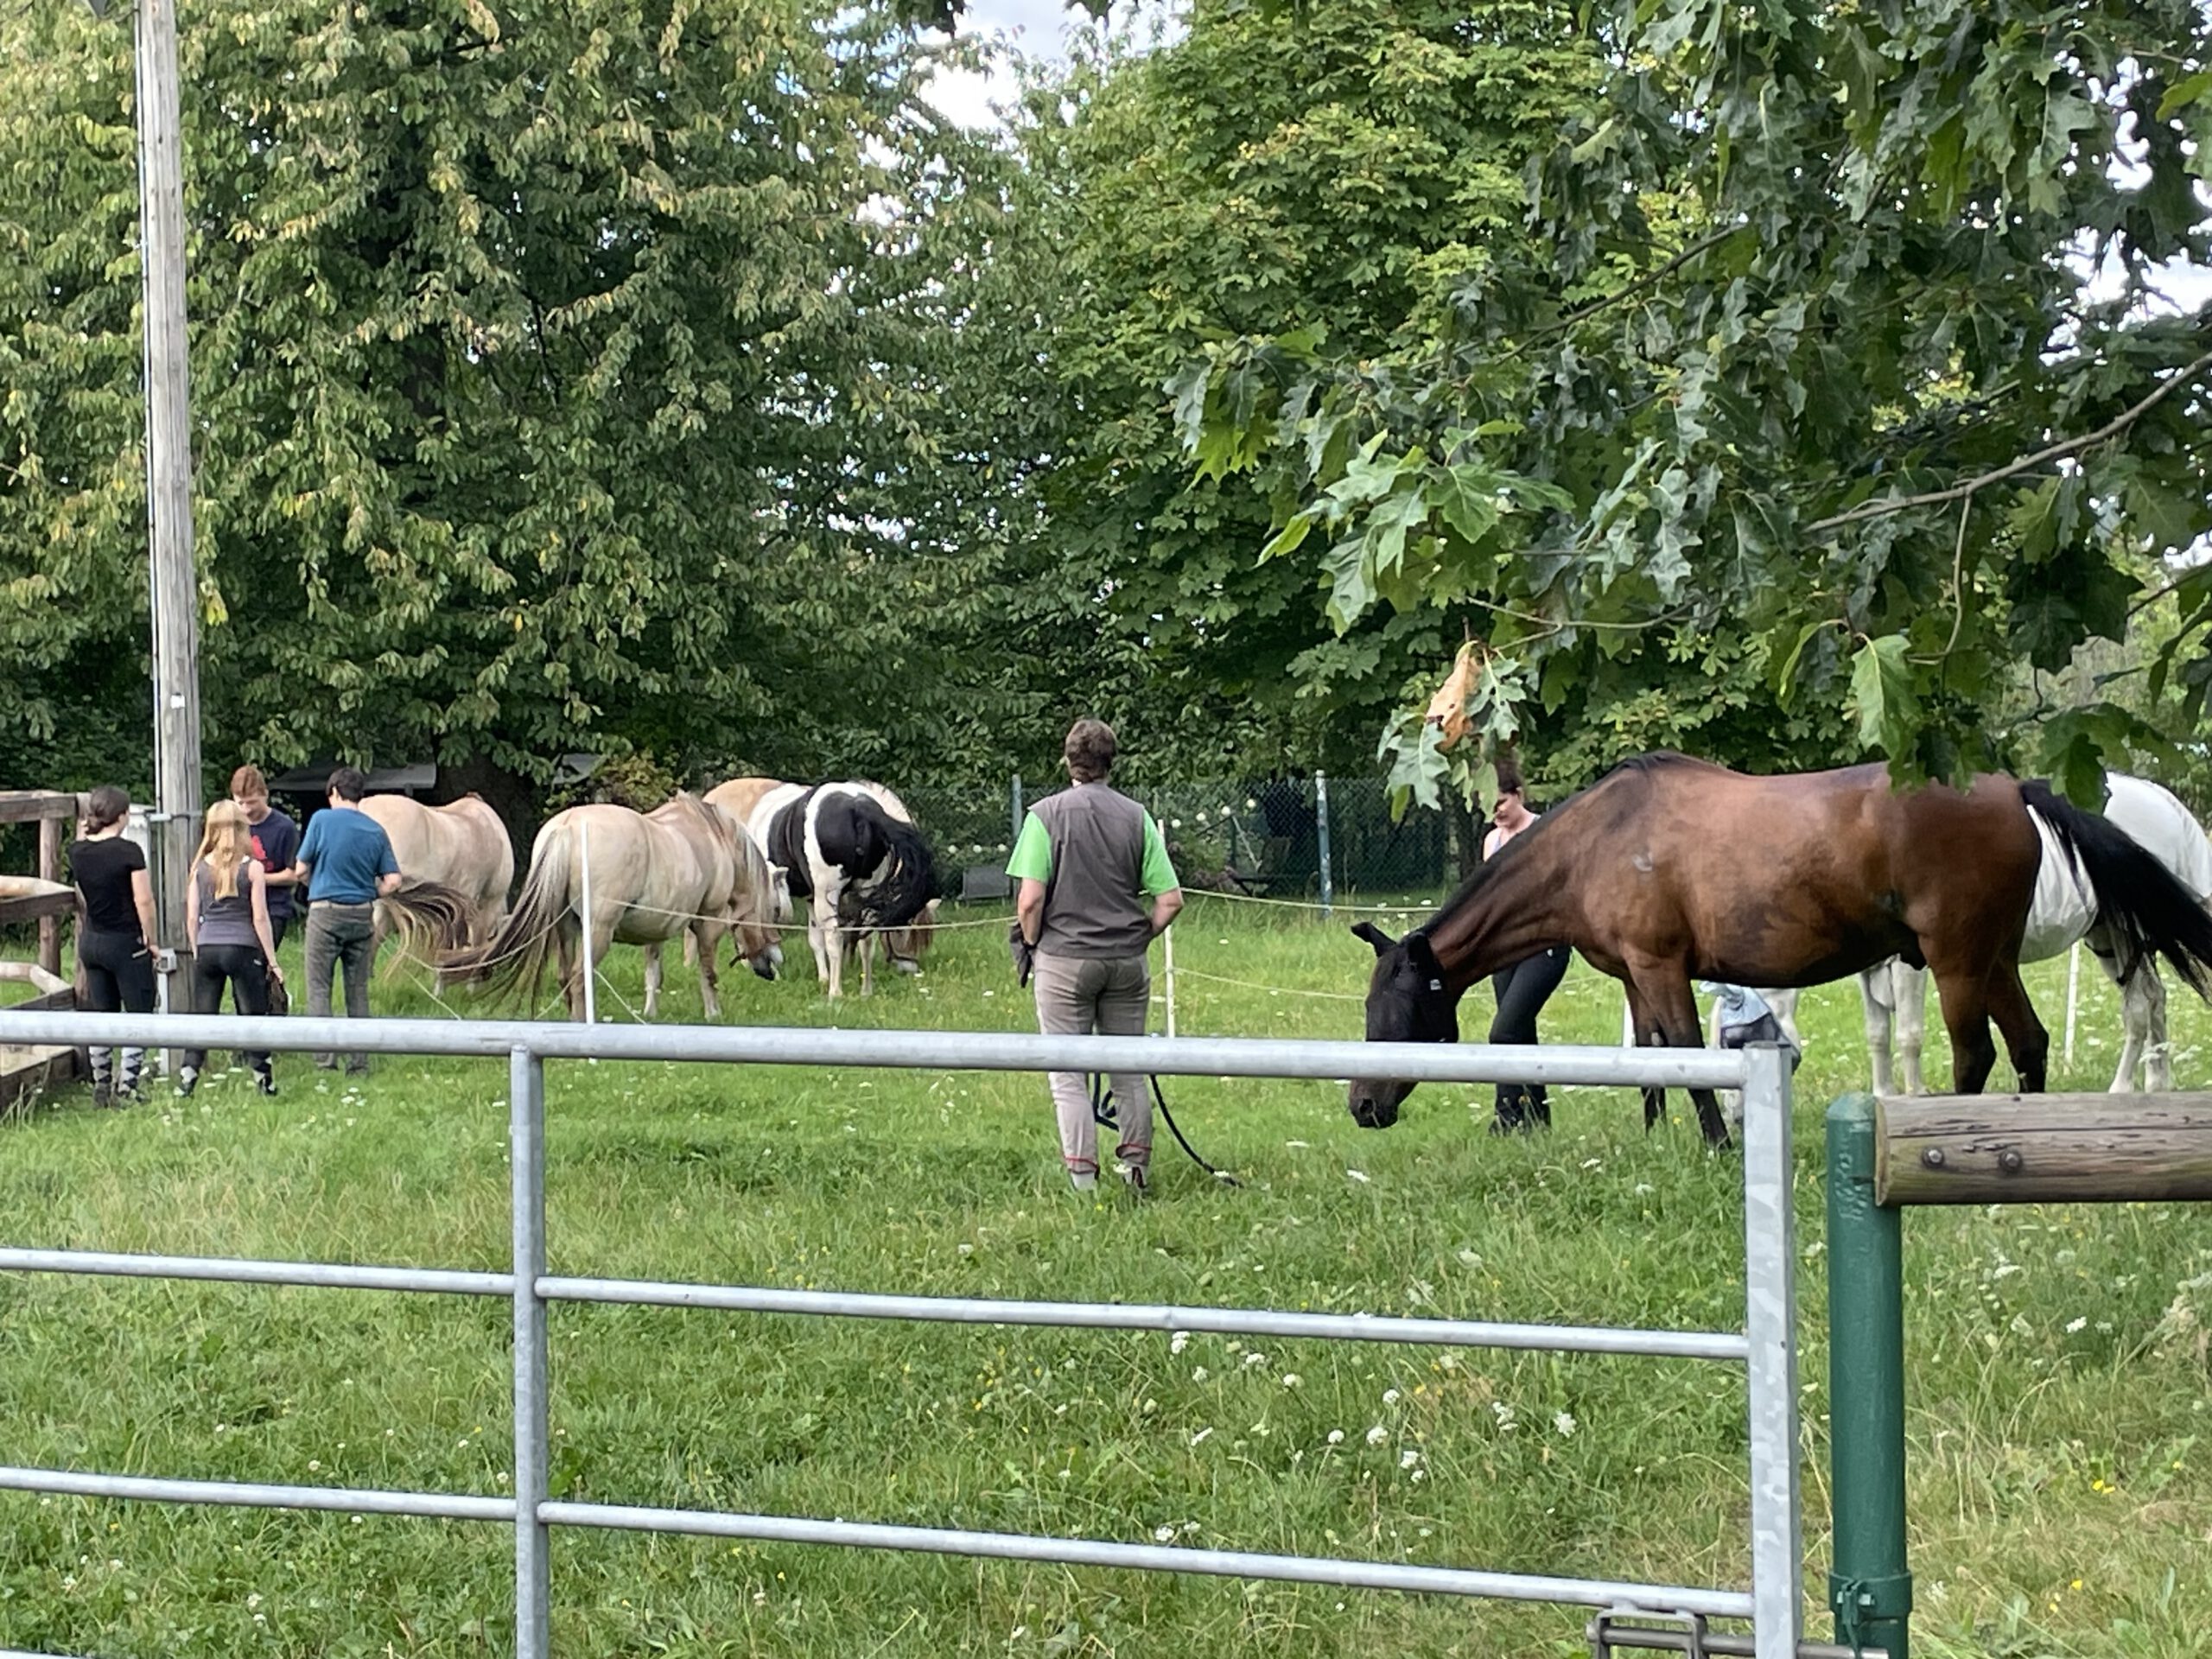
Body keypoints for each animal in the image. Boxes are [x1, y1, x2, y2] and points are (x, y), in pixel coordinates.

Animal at [453, 796, 783, 1021]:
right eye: (774, 910)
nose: (773, 963)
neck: (714, 840)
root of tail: (567, 828)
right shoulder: (708, 922)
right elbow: (708, 971)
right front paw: (714, 1013)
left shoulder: (656, 929)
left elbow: (653, 974)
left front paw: (650, 1013)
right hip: (598, 932)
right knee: (578, 978)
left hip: (566, 930)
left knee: (565, 976)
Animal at [716, 779, 933, 1000]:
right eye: (902, 930)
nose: (911, 970)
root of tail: (859, 809)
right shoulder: (816, 897)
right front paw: (824, 978)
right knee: (856, 941)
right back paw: (854, 992)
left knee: (844, 940)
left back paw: (842, 992)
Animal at [1760, 783, 2212, 1106]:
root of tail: (2161, 798)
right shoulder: (1870, 971)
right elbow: (1878, 1035)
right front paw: (1882, 1096)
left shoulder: (1909, 965)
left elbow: (1908, 1034)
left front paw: (1914, 1096)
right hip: (2107, 936)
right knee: (2153, 997)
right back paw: (2157, 1082)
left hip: (2122, 932)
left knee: (2138, 1005)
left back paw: (2122, 1088)